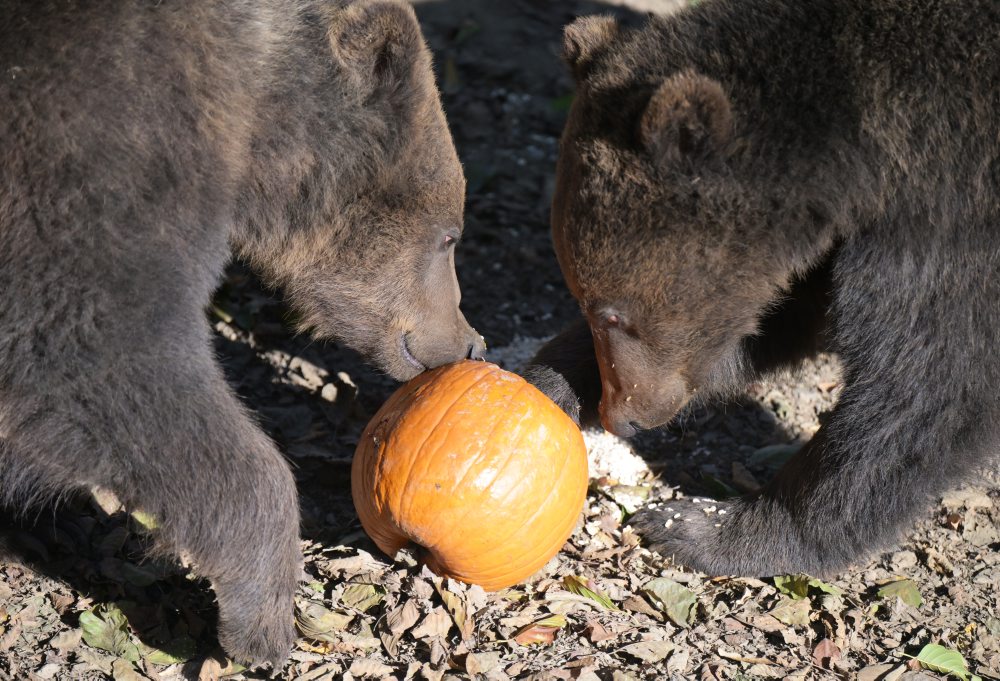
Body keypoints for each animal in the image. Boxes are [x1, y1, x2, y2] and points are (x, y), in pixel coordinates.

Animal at [524, 2, 1000, 580]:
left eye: (613, 314)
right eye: (587, 305)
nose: (623, 414)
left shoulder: (947, 215)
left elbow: (929, 387)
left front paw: (703, 526)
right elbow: (779, 319)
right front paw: (551, 378)